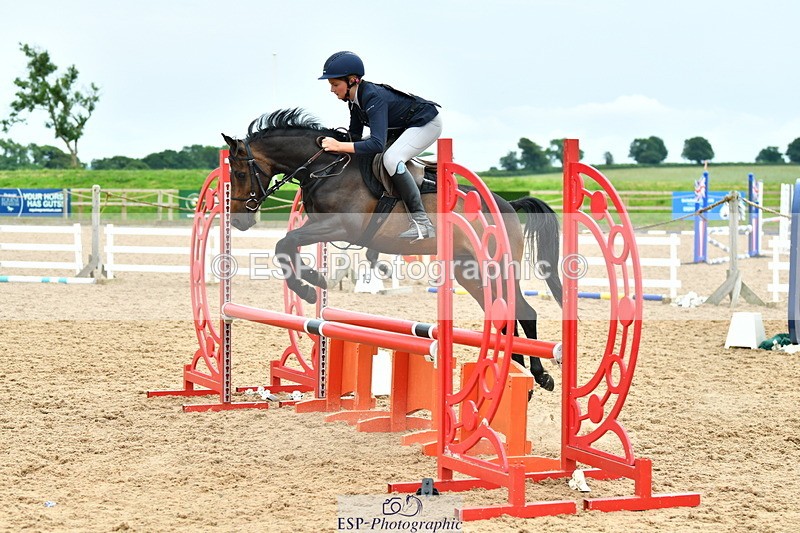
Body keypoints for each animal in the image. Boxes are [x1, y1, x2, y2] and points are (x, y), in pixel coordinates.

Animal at [221, 108, 563, 392]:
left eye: (240, 173)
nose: (238, 220)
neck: (326, 167)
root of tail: (508, 204)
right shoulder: (321, 225)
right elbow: (287, 245)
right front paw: (312, 283)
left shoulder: (341, 226)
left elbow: (285, 242)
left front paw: (309, 286)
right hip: (468, 271)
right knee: (504, 318)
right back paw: (521, 377)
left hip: (498, 266)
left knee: (524, 312)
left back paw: (540, 376)